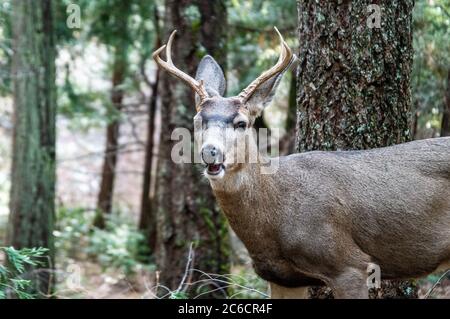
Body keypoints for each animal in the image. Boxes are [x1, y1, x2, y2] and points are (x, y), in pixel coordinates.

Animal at [153, 28, 448, 300]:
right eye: (197, 120)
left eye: (241, 123)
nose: (210, 152)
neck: (275, 216)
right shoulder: (283, 277)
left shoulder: (349, 263)